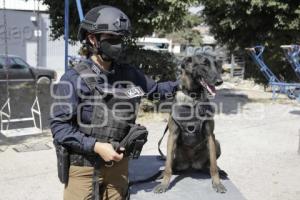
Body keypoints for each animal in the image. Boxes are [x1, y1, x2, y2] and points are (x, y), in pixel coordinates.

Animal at [154, 54, 226, 194]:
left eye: (216, 64)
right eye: (204, 64)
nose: (220, 81)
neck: (193, 97)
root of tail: (192, 164)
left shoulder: (210, 136)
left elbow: (213, 165)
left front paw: (217, 183)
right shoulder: (172, 136)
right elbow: (168, 166)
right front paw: (164, 184)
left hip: (217, 143)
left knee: (208, 165)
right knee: (171, 164)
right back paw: (161, 174)